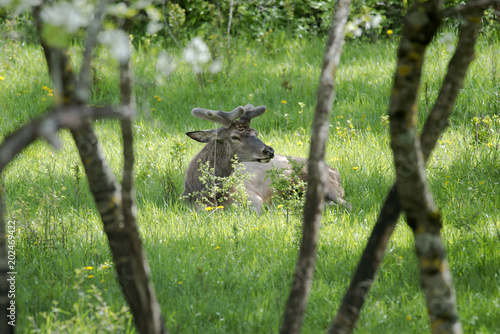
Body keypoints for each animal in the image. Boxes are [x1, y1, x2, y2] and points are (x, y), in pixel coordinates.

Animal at [182, 104, 350, 213]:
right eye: (234, 137)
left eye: (255, 132)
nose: (269, 151)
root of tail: (336, 172)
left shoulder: (250, 197)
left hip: (324, 182)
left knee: (346, 204)